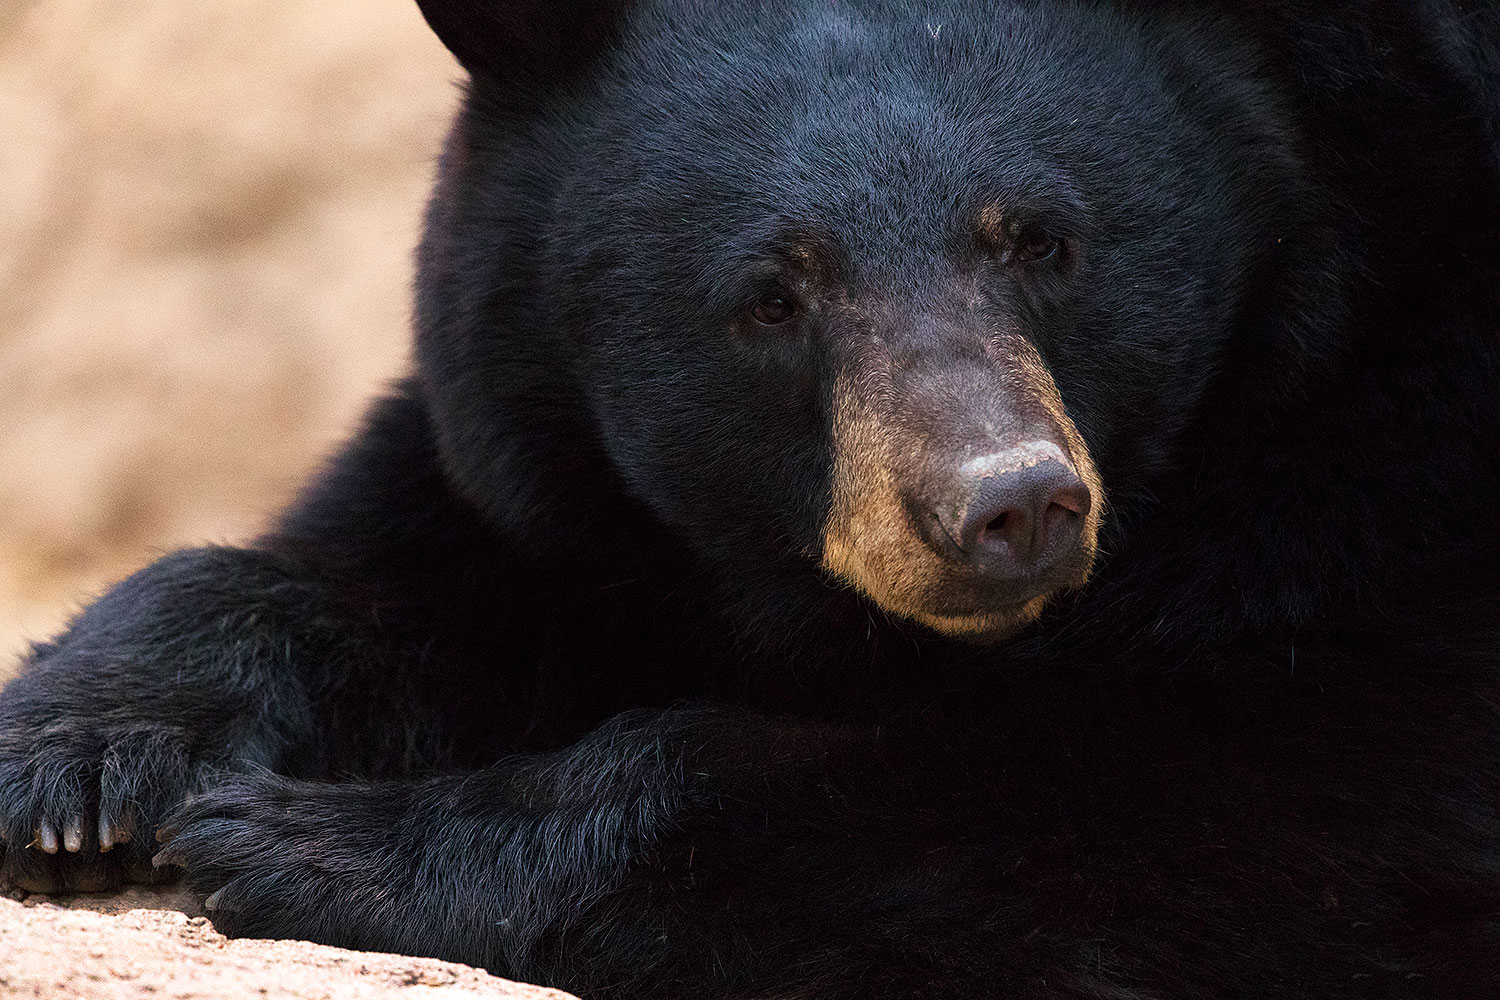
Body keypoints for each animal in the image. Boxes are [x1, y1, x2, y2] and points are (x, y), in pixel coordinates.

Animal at [3, 0, 1500, 997]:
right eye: (773, 298)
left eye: (1044, 242)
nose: (1010, 507)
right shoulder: (541, 438)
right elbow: (401, 573)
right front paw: (76, 767)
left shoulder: (1403, 466)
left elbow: (1229, 812)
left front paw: (306, 840)